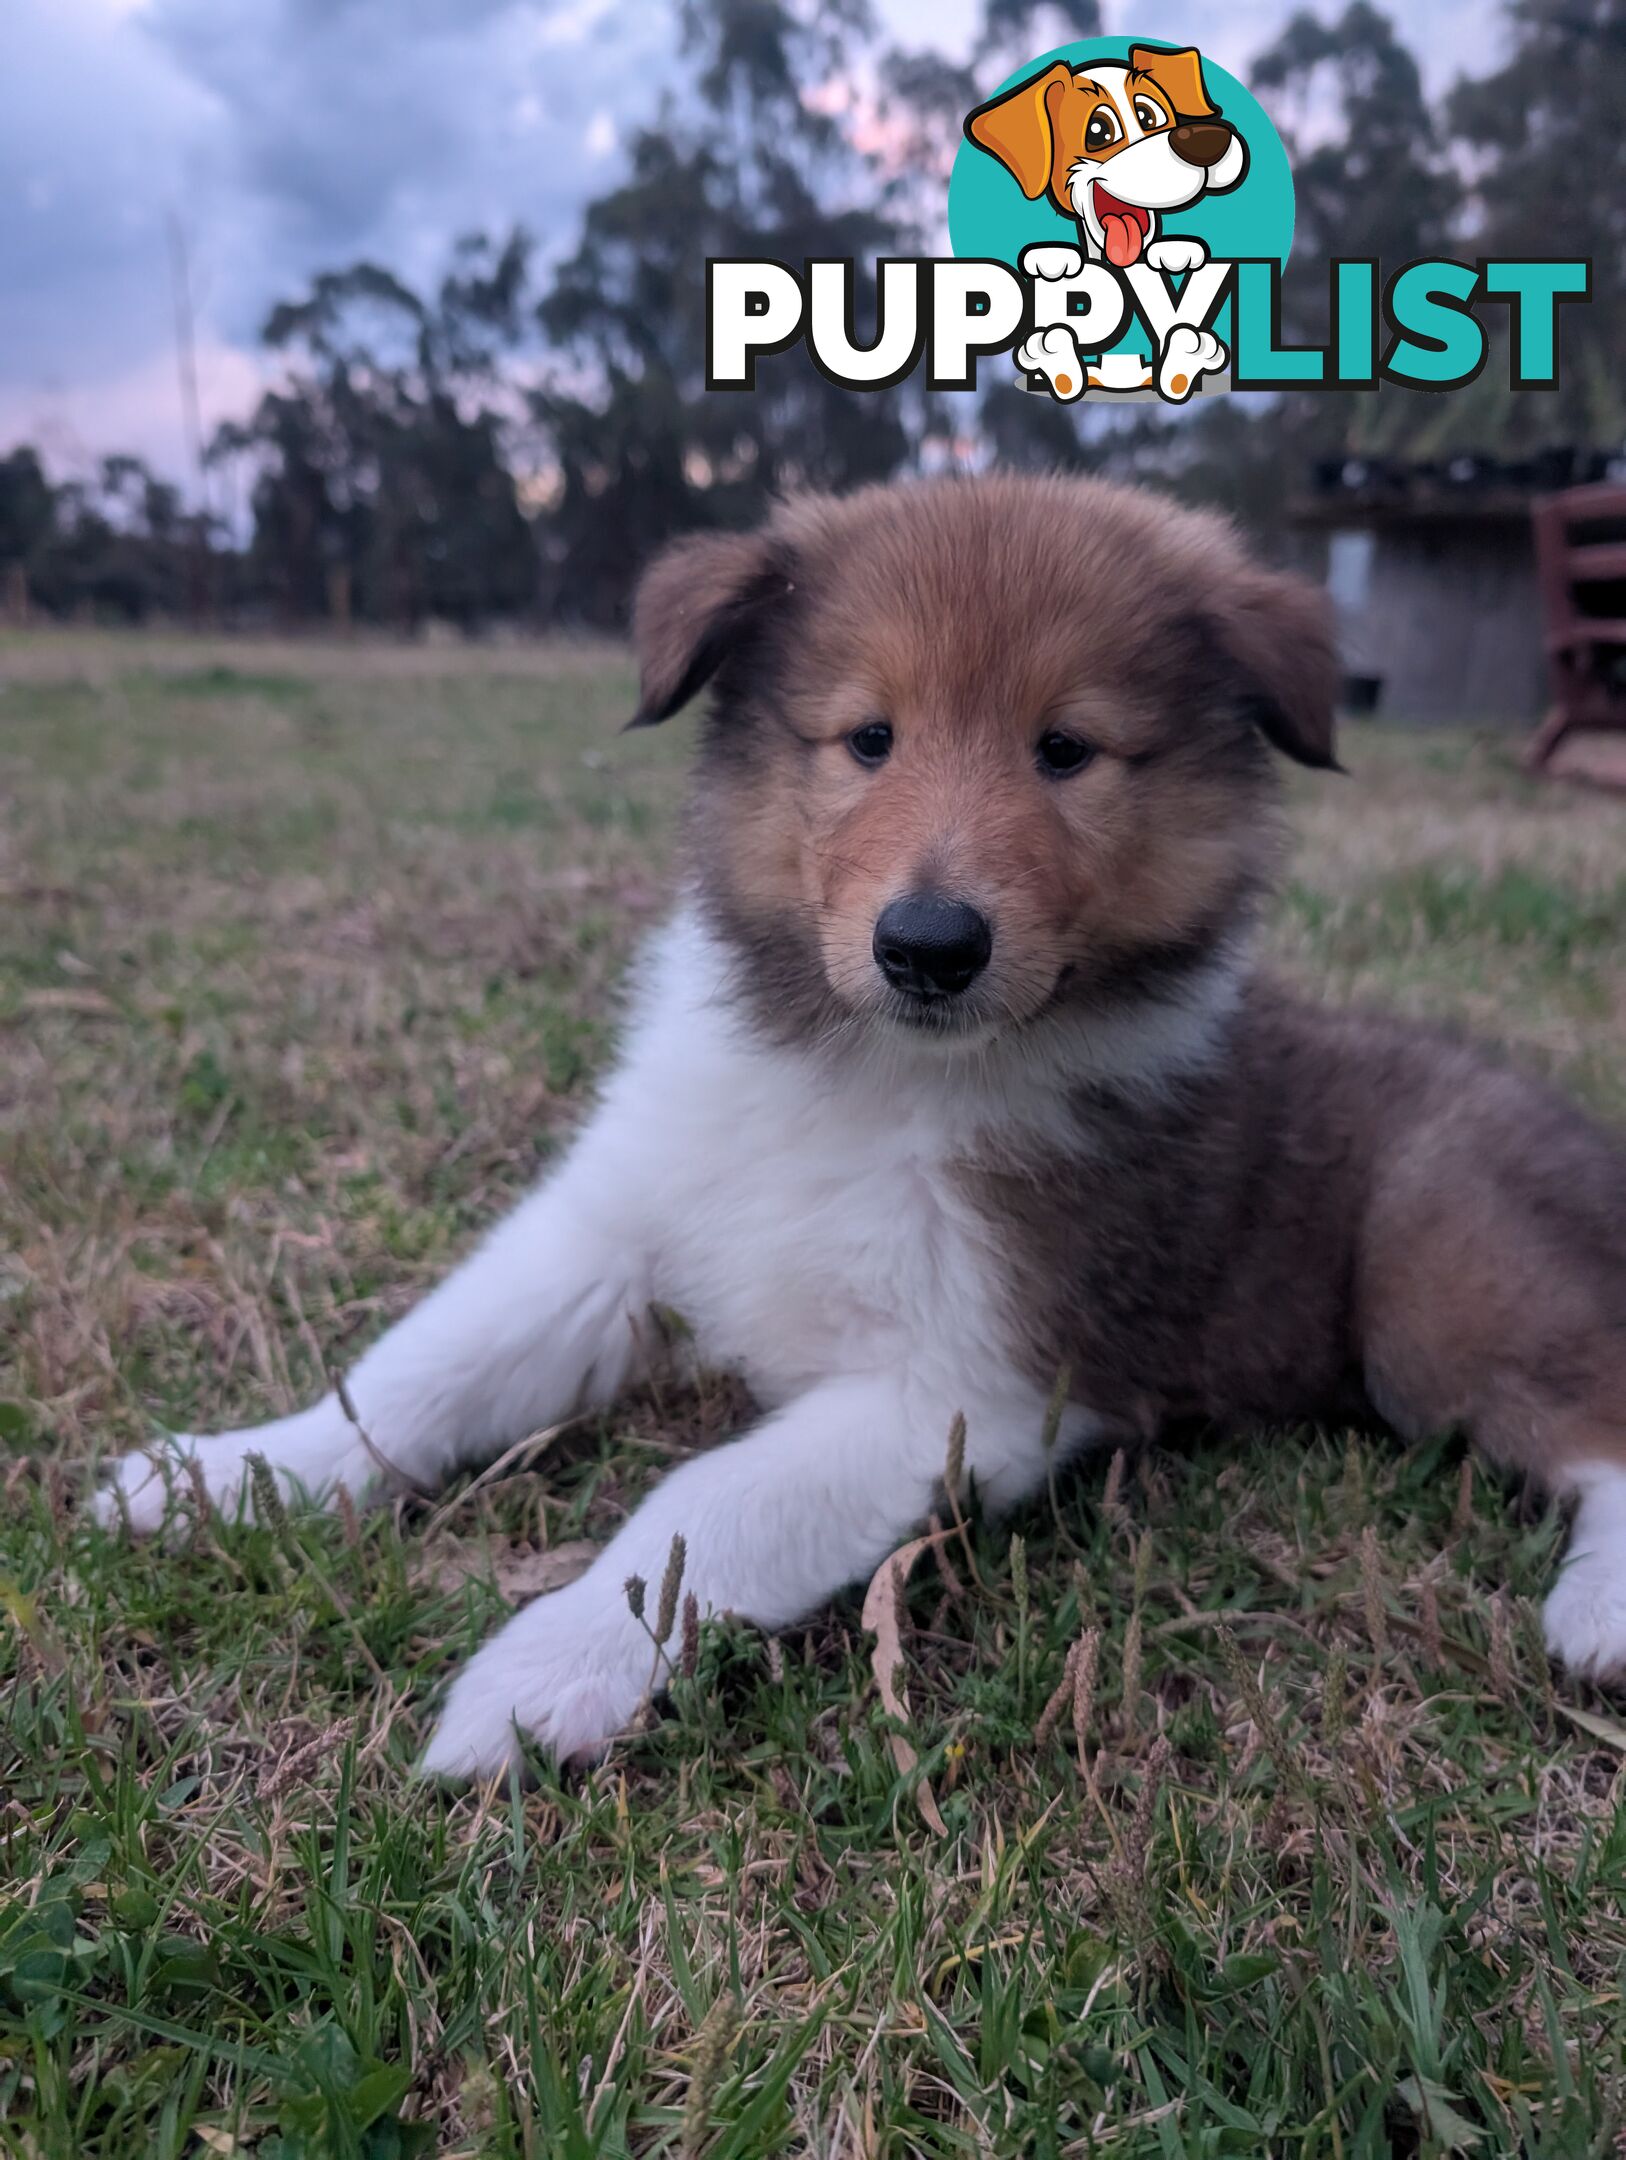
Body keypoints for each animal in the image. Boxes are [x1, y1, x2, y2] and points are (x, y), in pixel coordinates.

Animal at [98, 477, 1623, 1771]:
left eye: (1065, 750)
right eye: (867, 738)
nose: (929, 946)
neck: (863, 1073)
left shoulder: (962, 1383)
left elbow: (703, 1503)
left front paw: (544, 1674)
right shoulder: (616, 1229)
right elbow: (422, 1366)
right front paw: (233, 1475)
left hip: (1440, 1282)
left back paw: (1599, 1616)